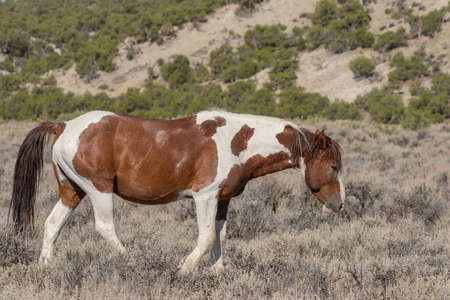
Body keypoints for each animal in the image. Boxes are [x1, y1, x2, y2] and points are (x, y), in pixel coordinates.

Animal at [10, 109, 344, 274]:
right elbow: (206, 237)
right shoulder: (204, 196)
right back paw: (134, 262)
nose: (339, 205)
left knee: (52, 224)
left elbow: (219, 235)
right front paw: (184, 269)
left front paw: (217, 271)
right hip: (98, 189)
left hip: (72, 191)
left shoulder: (222, 199)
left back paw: (46, 266)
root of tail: (64, 125)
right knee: (105, 227)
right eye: (334, 166)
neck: (236, 143)